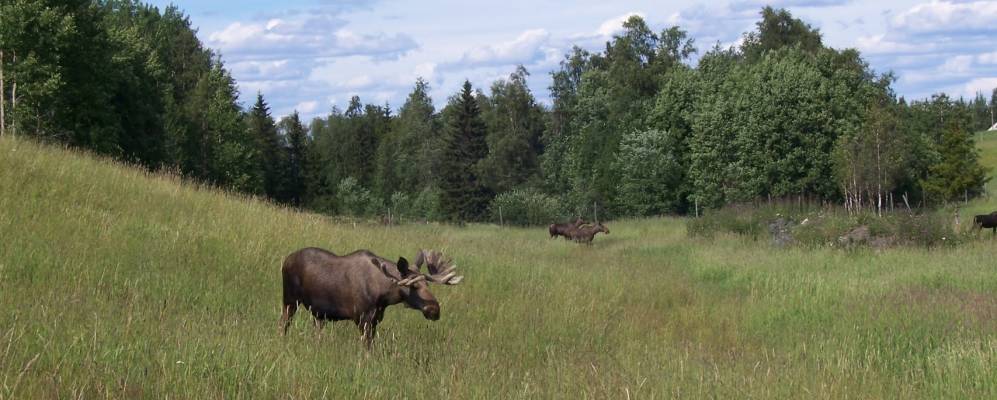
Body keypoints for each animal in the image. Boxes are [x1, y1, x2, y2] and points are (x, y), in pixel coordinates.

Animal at [278, 247, 462, 346]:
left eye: (427, 285)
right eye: (413, 285)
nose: (434, 310)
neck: (383, 296)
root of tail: (286, 260)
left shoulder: (375, 319)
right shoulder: (362, 318)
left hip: (317, 314)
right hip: (289, 300)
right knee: (283, 324)